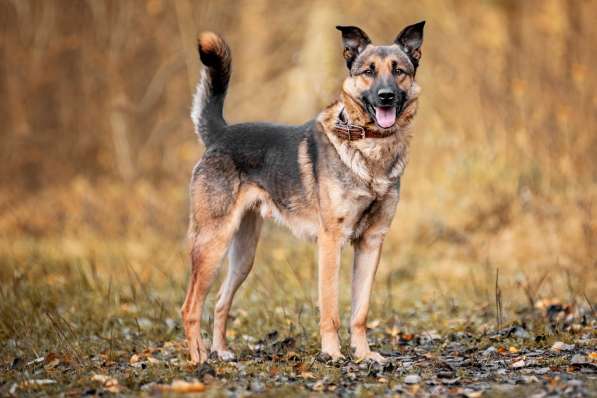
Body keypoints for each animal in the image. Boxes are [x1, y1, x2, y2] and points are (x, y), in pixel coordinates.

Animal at [180, 21, 424, 364]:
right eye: (369, 72)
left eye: (398, 71)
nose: (385, 97)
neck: (370, 146)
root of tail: (221, 134)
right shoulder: (331, 242)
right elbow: (331, 309)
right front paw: (333, 354)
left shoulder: (371, 243)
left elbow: (360, 312)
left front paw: (364, 355)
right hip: (212, 242)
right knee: (190, 306)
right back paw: (199, 358)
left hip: (243, 255)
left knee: (219, 301)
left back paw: (221, 350)